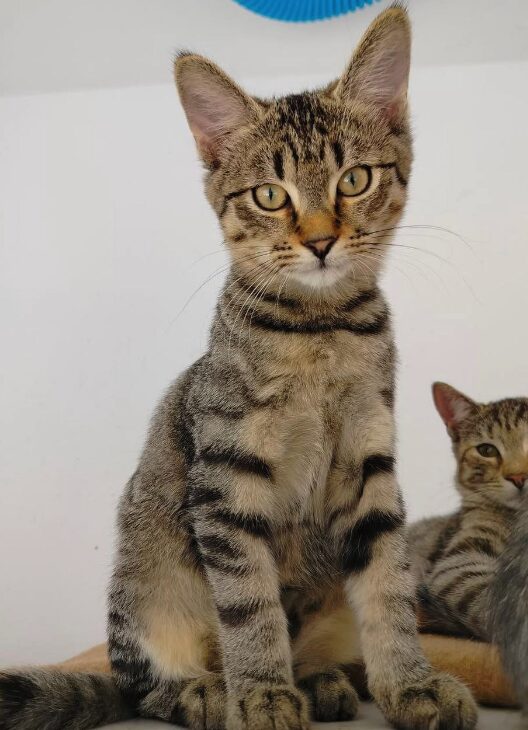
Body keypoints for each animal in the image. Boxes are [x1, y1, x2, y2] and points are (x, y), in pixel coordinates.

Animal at [0, 5, 476, 728]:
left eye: (354, 180)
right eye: (270, 195)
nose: (320, 240)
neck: (319, 332)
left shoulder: (371, 466)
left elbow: (389, 589)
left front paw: (411, 683)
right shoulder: (227, 478)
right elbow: (251, 605)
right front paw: (261, 696)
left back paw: (321, 680)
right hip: (147, 585)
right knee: (139, 683)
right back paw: (207, 690)